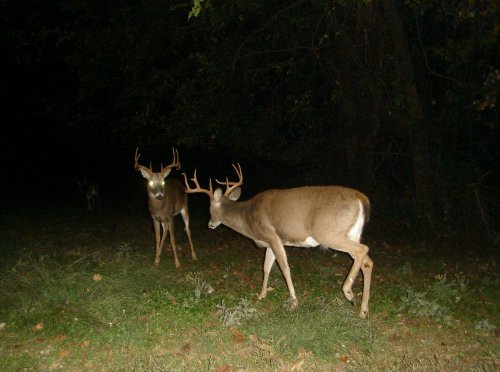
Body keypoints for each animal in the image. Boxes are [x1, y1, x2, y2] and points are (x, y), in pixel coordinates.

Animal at [183, 164, 372, 318]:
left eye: (209, 209)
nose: (210, 224)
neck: (248, 219)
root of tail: (362, 199)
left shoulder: (272, 236)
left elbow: (284, 268)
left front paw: (294, 301)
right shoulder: (270, 241)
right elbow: (266, 267)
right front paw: (261, 295)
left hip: (329, 233)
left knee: (363, 250)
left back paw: (349, 293)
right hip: (351, 233)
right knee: (366, 262)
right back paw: (363, 310)